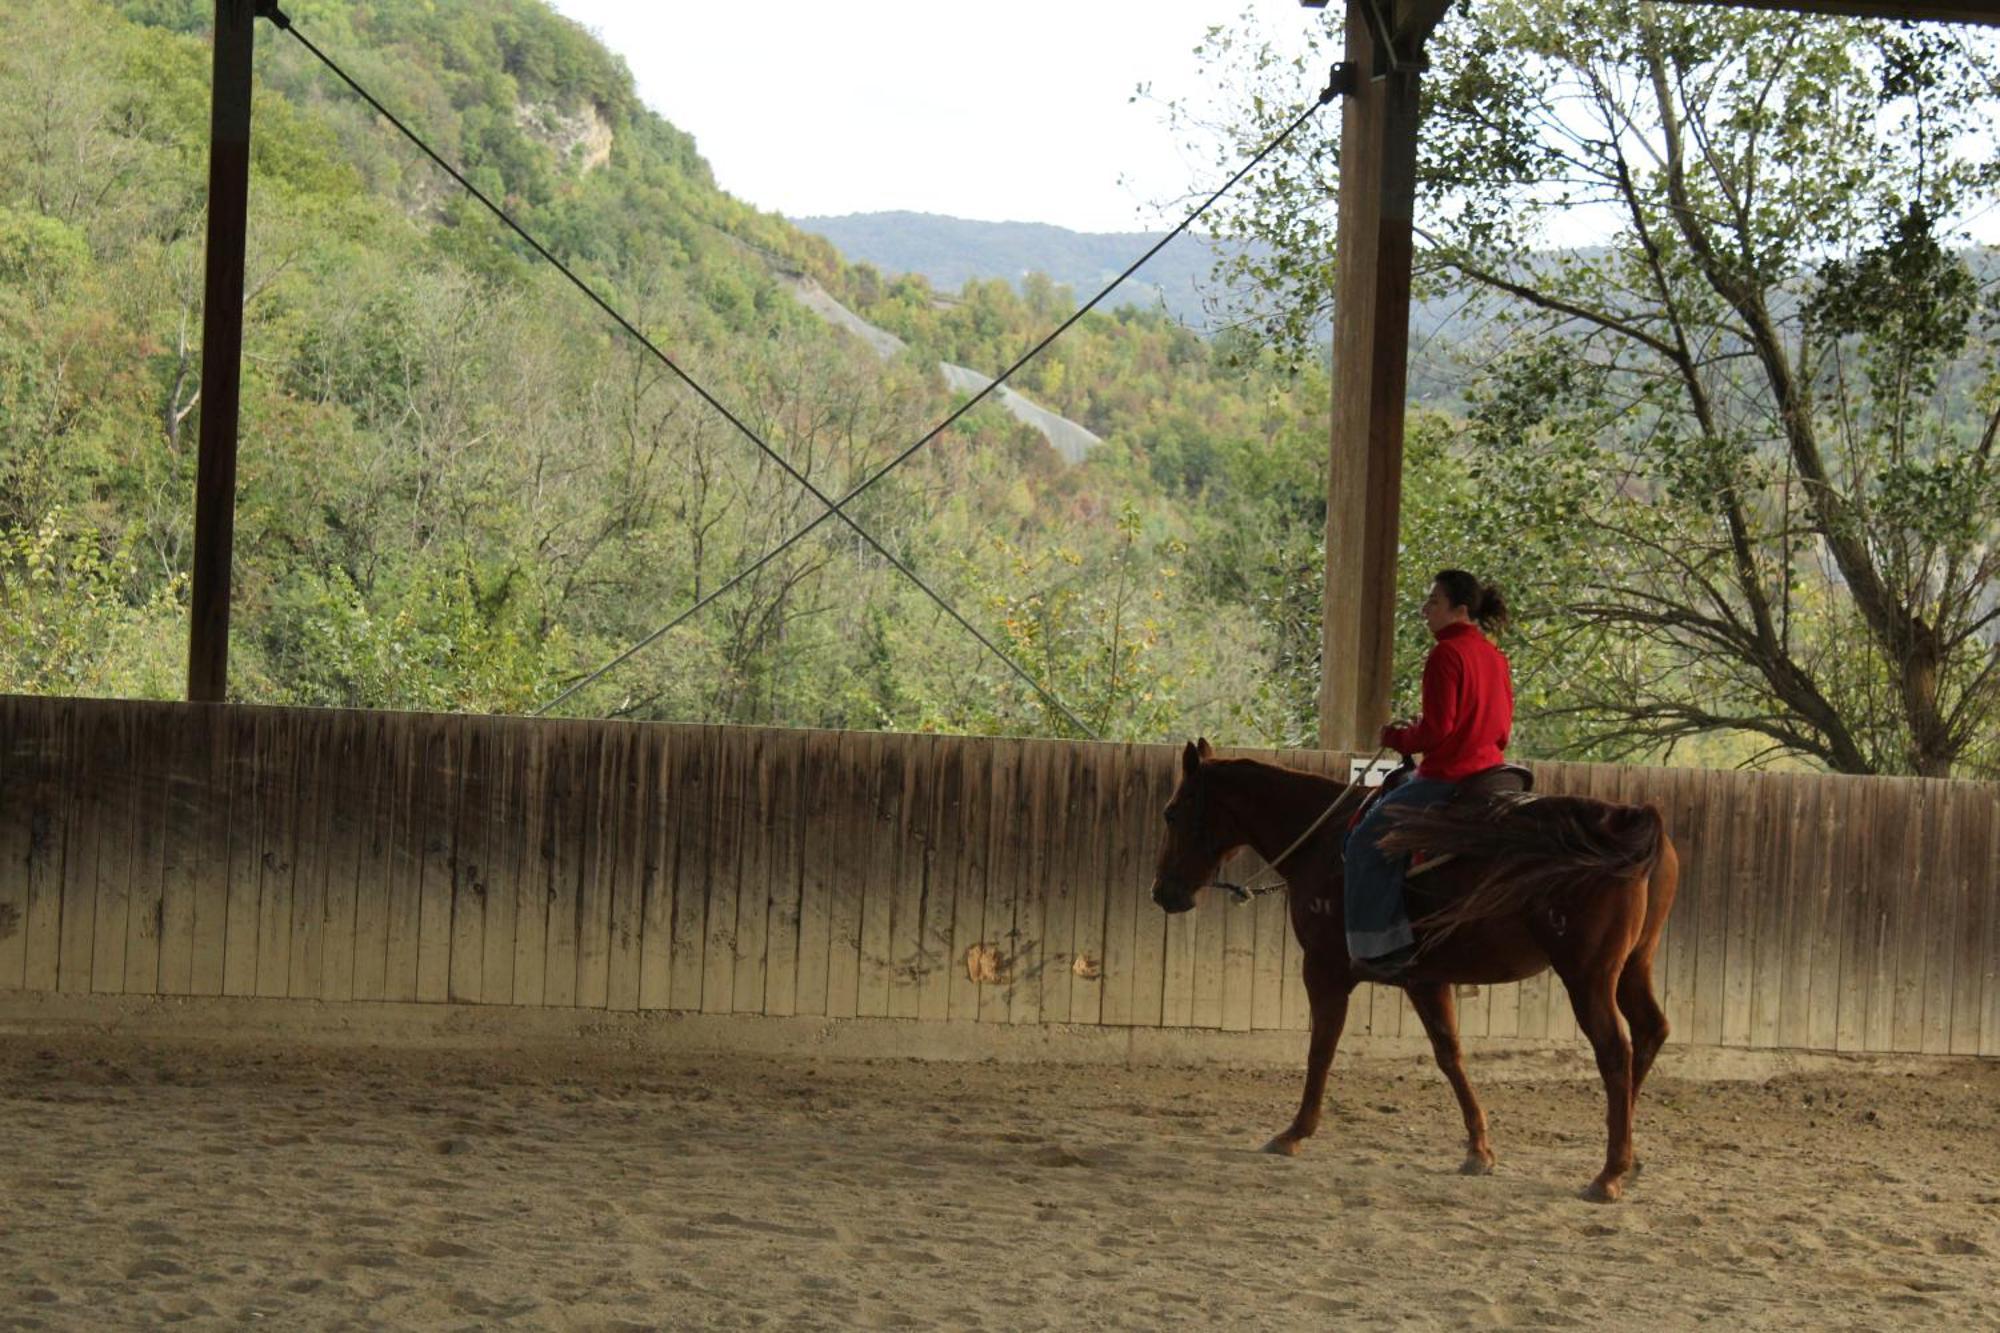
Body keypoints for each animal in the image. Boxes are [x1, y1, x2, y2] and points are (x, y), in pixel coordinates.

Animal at [1152, 732, 1680, 1200]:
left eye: (1172, 812)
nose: (1163, 893)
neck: (1322, 842)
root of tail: (1633, 821)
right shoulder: (1425, 978)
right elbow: (1450, 1055)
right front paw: (1478, 1151)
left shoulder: (1324, 968)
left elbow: (1321, 1048)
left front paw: (1294, 1133)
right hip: (1634, 964)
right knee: (1650, 1031)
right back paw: (1628, 1157)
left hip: (1588, 975)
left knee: (1615, 1051)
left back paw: (1608, 1174)